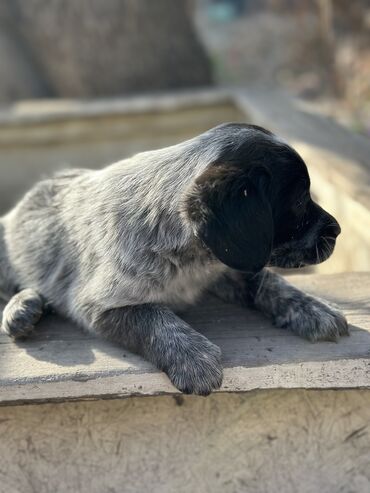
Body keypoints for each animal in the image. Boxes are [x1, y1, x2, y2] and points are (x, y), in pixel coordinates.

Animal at [0, 125, 346, 394]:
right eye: (299, 201)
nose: (338, 230)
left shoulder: (225, 267)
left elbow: (268, 281)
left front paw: (315, 307)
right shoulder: (98, 305)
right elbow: (153, 316)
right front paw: (193, 358)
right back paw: (20, 309)